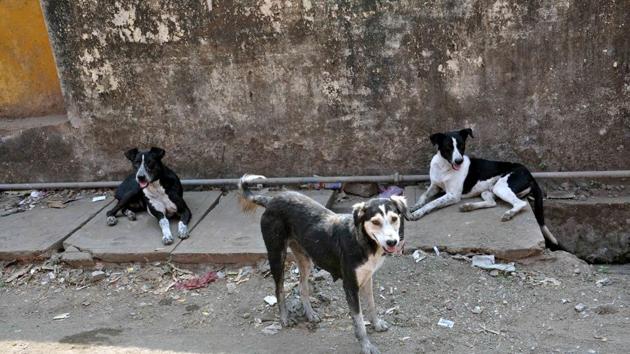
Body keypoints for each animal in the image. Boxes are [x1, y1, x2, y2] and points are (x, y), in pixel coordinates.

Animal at [239, 175, 408, 354]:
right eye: (375, 222)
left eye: (394, 219)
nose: (392, 242)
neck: (364, 241)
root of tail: (272, 200)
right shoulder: (350, 286)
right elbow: (359, 321)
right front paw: (366, 345)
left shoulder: (367, 277)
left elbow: (372, 304)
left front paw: (376, 324)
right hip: (276, 254)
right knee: (279, 289)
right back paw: (285, 318)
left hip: (306, 259)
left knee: (302, 286)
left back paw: (310, 314)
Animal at [412, 128, 560, 246]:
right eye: (448, 147)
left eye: (461, 146)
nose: (459, 161)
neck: (444, 166)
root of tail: (530, 175)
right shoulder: (435, 186)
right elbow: (424, 196)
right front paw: (415, 206)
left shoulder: (453, 195)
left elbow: (432, 203)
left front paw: (417, 213)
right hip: (488, 191)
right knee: (492, 203)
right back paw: (468, 206)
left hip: (501, 187)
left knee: (521, 203)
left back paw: (509, 214)